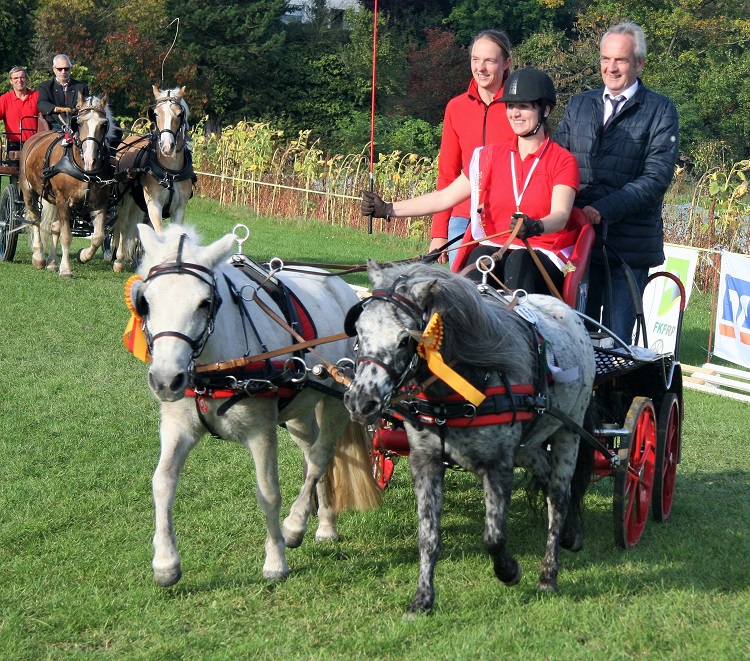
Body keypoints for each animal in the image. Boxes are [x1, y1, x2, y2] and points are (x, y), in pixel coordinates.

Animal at [19, 93, 117, 276]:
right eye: (78, 123)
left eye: (104, 124)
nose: (90, 160)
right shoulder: (63, 201)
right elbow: (66, 236)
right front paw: (65, 269)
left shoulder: (100, 203)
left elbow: (98, 236)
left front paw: (83, 255)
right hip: (29, 190)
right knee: (35, 220)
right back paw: (39, 257)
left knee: (54, 226)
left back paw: (51, 262)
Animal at [111, 85, 195, 270]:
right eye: (155, 113)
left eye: (180, 114)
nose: (167, 146)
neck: (170, 171)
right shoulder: (154, 203)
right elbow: (160, 234)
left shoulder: (179, 207)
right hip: (125, 198)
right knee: (123, 225)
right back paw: (118, 260)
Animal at [129, 224, 382, 584]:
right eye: (145, 301)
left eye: (205, 302)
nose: (165, 379)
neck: (215, 366)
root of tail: (342, 287)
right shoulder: (177, 427)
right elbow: (162, 482)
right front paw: (166, 562)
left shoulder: (261, 432)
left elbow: (268, 492)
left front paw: (275, 560)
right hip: (300, 412)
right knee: (313, 455)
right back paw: (324, 523)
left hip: (337, 399)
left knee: (320, 457)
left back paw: (296, 525)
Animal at [346, 260, 600, 616]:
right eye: (358, 331)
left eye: (405, 340)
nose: (360, 401)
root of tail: (567, 311)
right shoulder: (425, 461)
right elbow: (428, 536)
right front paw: (422, 599)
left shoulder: (498, 465)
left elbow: (493, 537)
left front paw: (509, 571)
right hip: (530, 445)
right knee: (546, 477)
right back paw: (571, 534)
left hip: (568, 433)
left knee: (559, 497)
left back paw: (549, 573)